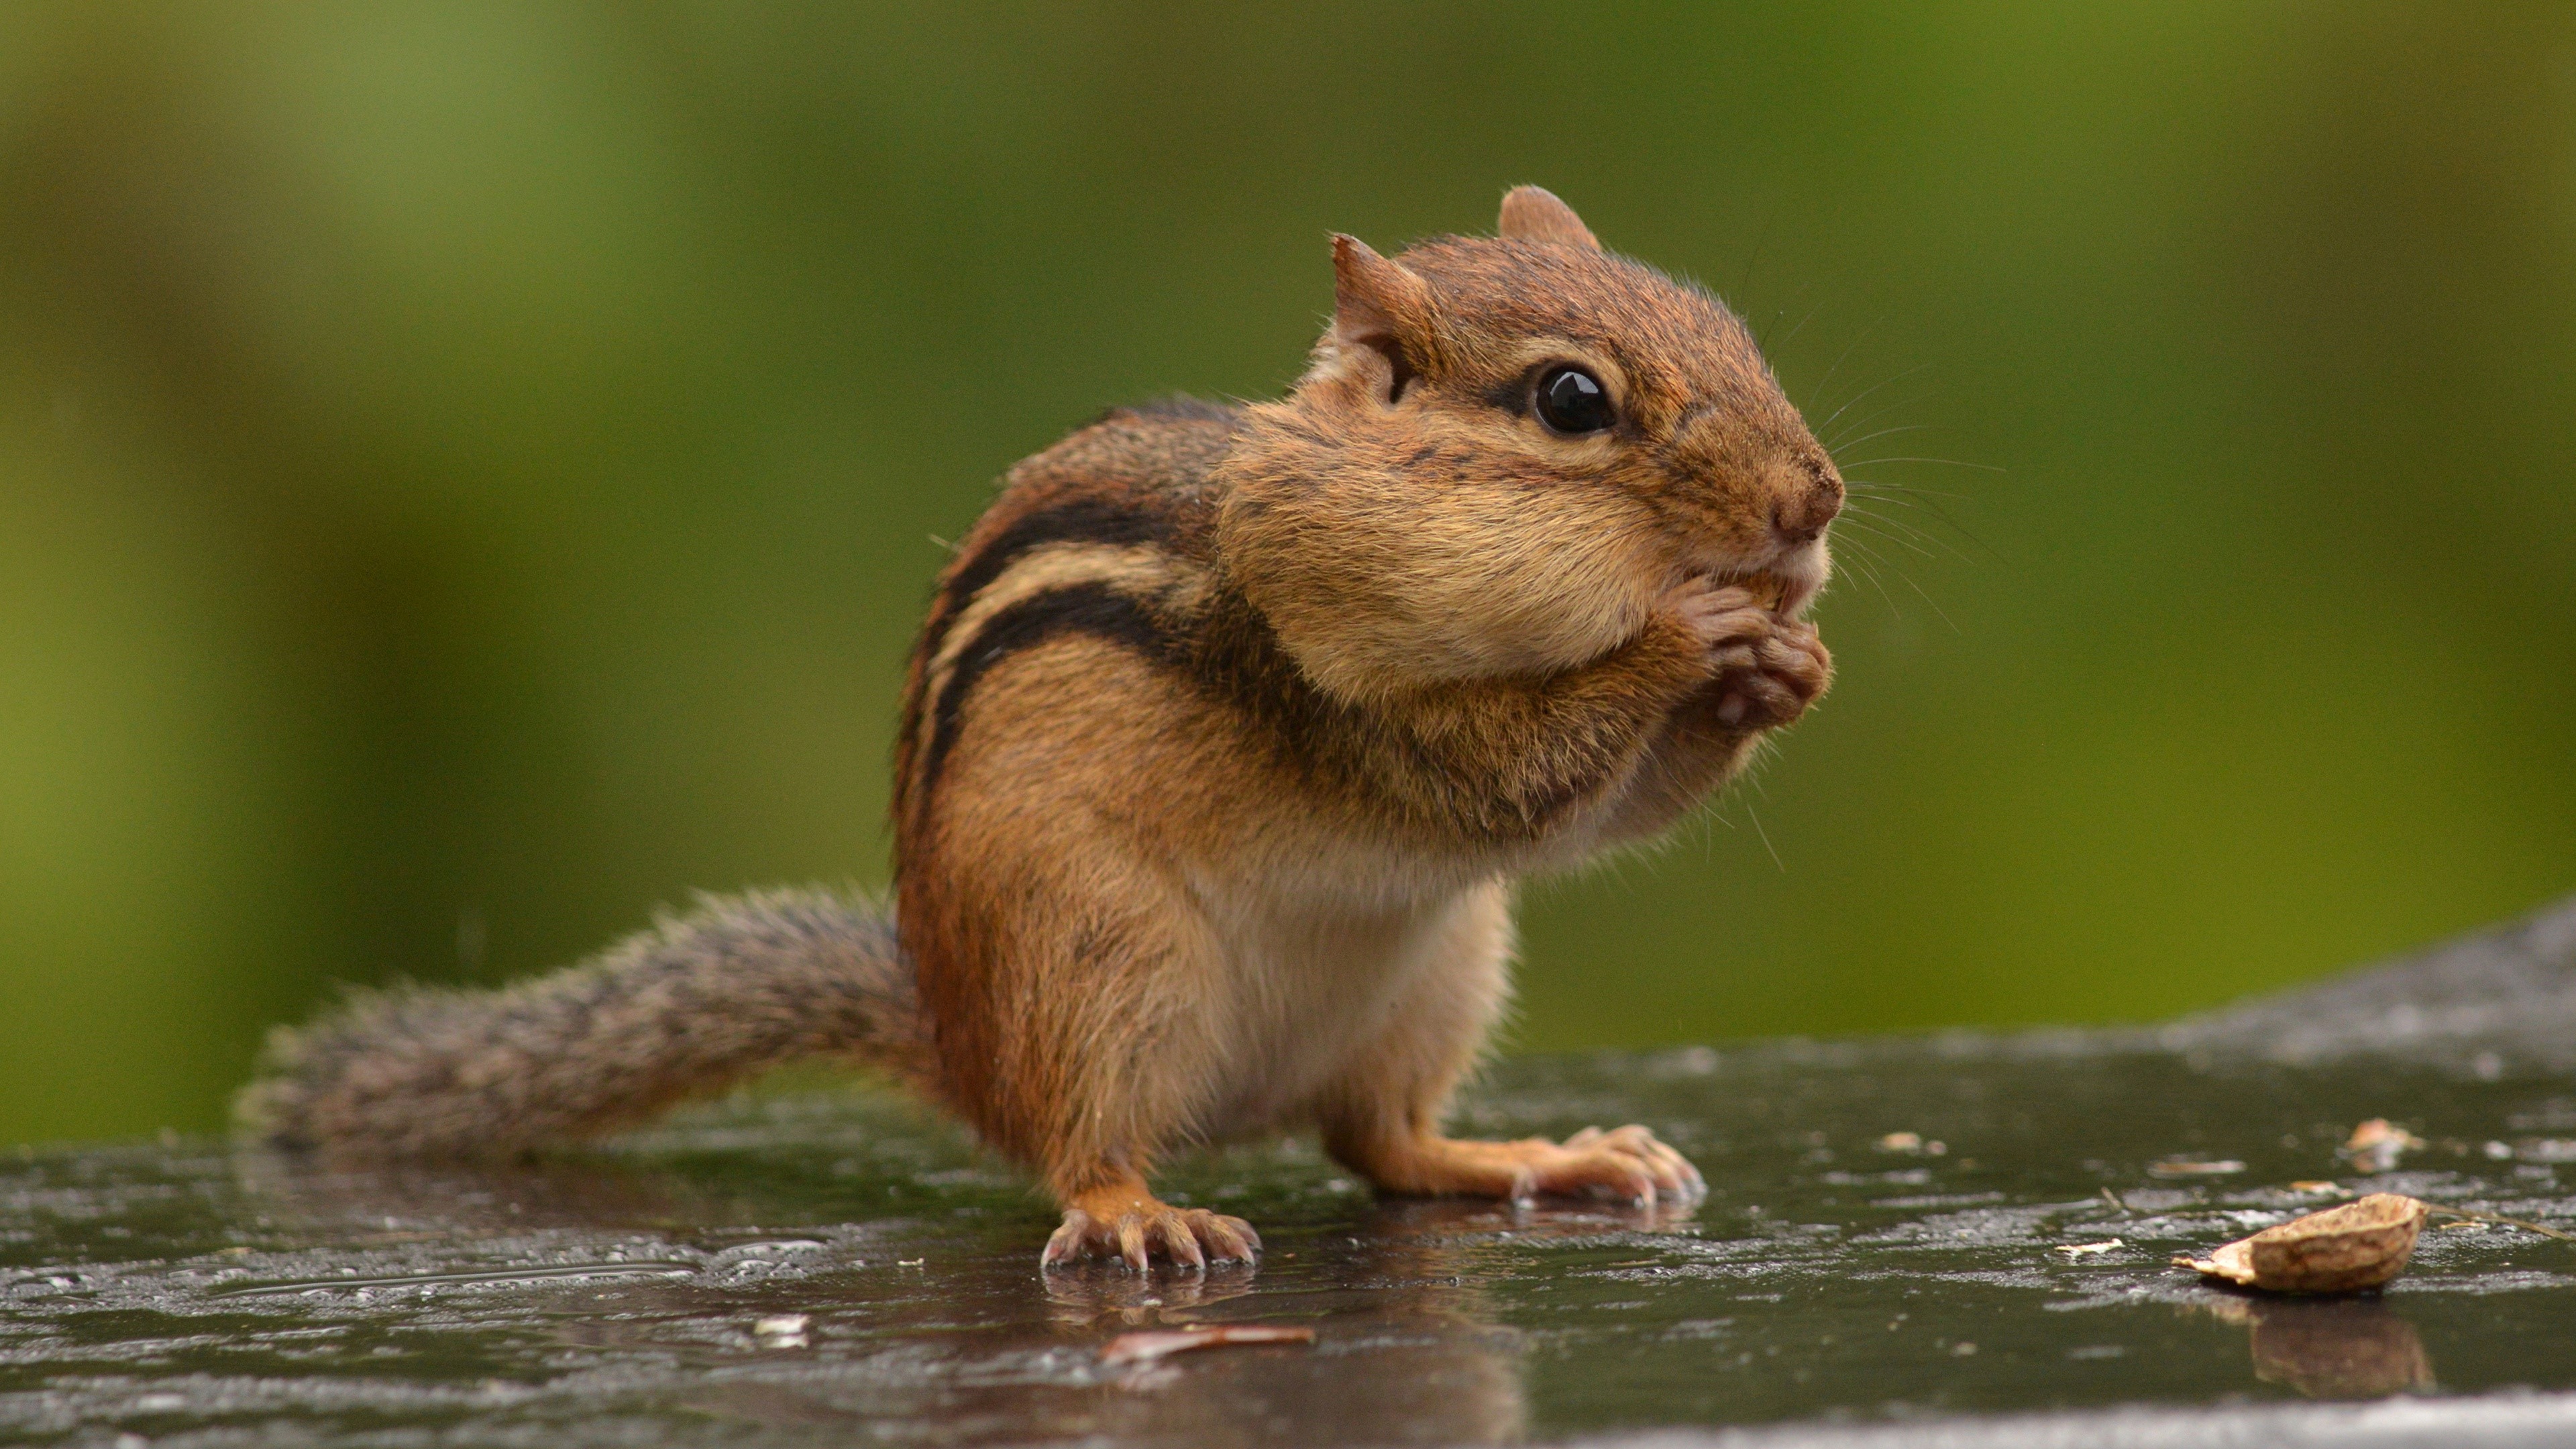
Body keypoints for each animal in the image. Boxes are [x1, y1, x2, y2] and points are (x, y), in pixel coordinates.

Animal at [237, 186, 1840, 1272]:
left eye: (1730, 327)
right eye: (1572, 400)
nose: (1813, 503)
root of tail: (962, 1045)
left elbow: (1609, 810)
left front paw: (1788, 664)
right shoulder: (1327, 696)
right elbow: (1509, 777)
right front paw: (1689, 638)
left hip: (1442, 970)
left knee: (1382, 1144)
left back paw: (1540, 1156)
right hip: (1094, 956)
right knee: (1087, 1150)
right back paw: (1139, 1212)